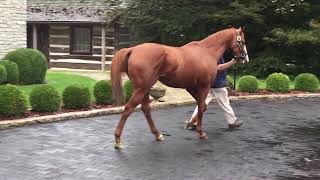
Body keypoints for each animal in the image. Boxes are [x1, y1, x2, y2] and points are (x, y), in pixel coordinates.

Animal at [111, 27, 249, 150]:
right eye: (242, 41)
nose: (244, 58)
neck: (206, 52)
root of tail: (133, 49)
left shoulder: (191, 87)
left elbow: (202, 106)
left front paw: (190, 124)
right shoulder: (204, 86)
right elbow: (202, 107)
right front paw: (201, 132)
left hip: (144, 89)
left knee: (146, 109)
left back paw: (158, 134)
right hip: (141, 88)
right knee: (128, 109)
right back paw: (118, 140)